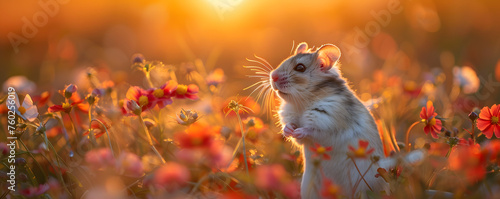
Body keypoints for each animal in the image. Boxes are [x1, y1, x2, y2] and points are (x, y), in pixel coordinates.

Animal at [272, 42, 388, 197]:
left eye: (300, 67)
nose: (272, 76)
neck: (302, 103)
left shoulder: (330, 124)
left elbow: (313, 131)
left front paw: (299, 131)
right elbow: (291, 127)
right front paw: (289, 130)